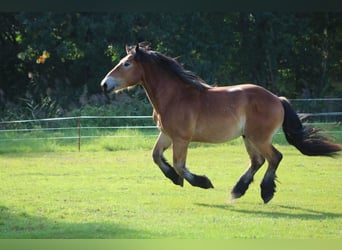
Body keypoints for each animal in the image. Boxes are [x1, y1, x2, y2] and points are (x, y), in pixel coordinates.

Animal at [100, 42, 340, 204]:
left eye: (126, 64)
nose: (104, 84)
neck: (175, 96)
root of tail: (277, 99)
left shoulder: (181, 139)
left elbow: (179, 165)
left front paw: (203, 182)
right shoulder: (166, 134)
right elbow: (156, 156)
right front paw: (175, 180)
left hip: (259, 138)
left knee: (274, 157)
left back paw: (265, 192)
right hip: (248, 138)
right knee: (258, 161)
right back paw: (237, 191)